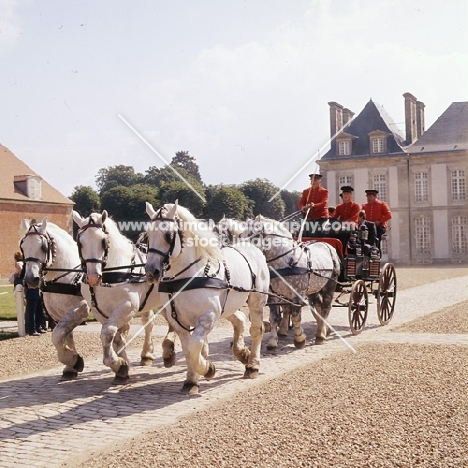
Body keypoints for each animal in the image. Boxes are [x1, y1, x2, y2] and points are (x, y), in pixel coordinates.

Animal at [20, 219, 91, 380]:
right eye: (23, 246)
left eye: (43, 246)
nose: (31, 279)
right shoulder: (60, 315)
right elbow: (66, 336)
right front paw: (71, 364)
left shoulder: (80, 309)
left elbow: (56, 336)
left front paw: (74, 361)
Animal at [73, 210, 177, 382]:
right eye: (80, 242)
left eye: (103, 241)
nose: (93, 277)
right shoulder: (100, 311)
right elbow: (116, 338)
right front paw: (123, 365)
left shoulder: (128, 306)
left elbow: (107, 333)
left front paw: (116, 363)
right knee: (156, 322)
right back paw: (153, 353)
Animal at [144, 201, 268, 394]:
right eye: (147, 235)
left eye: (168, 235)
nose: (151, 271)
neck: (188, 277)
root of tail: (251, 246)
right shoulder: (178, 322)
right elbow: (188, 350)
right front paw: (191, 380)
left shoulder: (208, 317)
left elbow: (195, 346)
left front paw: (208, 369)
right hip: (228, 306)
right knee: (239, 319)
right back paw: (242, 352)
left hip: (256, 301)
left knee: (256, 330)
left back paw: (253, 365)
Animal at [241, 214, 340, 350]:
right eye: (241, 235)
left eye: (253, 236)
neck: (287, 260)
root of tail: (327, 244)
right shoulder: (273, 295)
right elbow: (274, 317)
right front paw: (273, 341)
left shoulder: (297, 294)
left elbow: (296, 317)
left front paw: (300, 338)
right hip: (314, 288)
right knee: (318, 305)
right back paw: (323, 328)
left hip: (331, 284)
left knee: (326, 307)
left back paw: (321, 334)